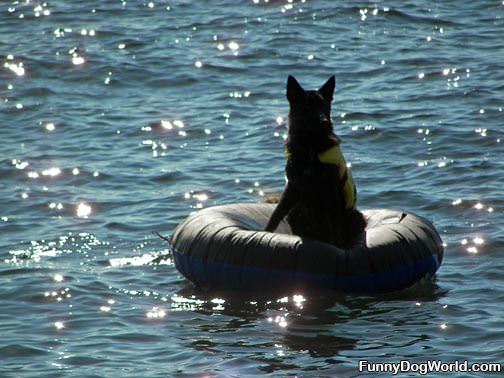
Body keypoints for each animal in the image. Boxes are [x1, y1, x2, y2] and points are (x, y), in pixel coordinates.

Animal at [264, 76, 366, 248]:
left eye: (324, 106)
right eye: (307, 106)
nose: (324, 121)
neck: (311, 147)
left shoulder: (331, 193)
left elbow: (335, 230)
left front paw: (338, 248)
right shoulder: (293, 187)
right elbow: (276, 213)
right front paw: (263, 232)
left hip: (354, 217)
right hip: (295, 212)